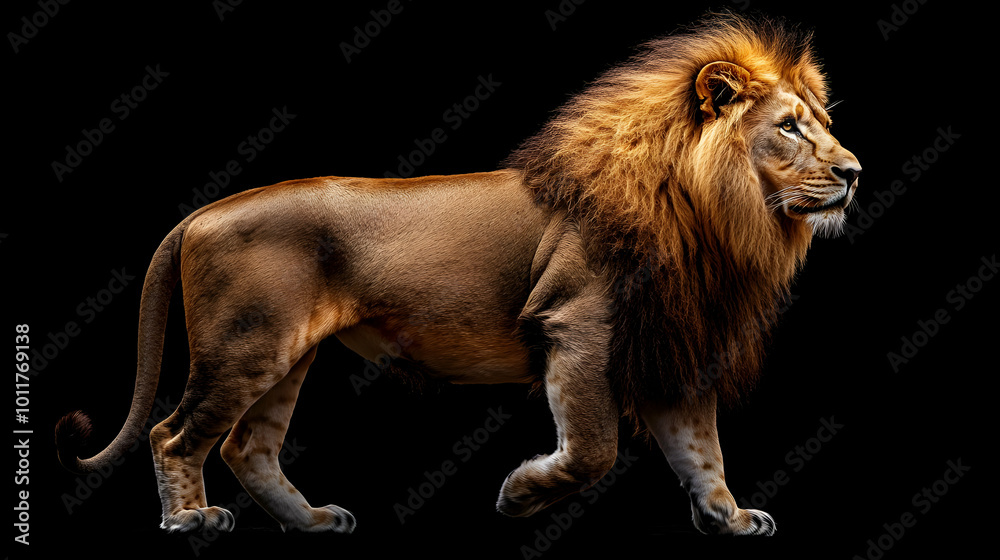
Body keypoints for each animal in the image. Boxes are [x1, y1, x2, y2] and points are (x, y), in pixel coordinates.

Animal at [55, 13, 860, 537]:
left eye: (821, 122)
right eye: (788, 127)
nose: (854, 172)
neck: (716, 218)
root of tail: (201, 213)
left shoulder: (672, 340)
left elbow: (702, 450)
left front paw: (729, 518)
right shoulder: (579, 326)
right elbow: (593, 449)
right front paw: (520, 495)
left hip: (285, 355)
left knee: (245, 446)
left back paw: (311, 521)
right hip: (243, 345)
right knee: (173, 435)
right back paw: (190, 520)